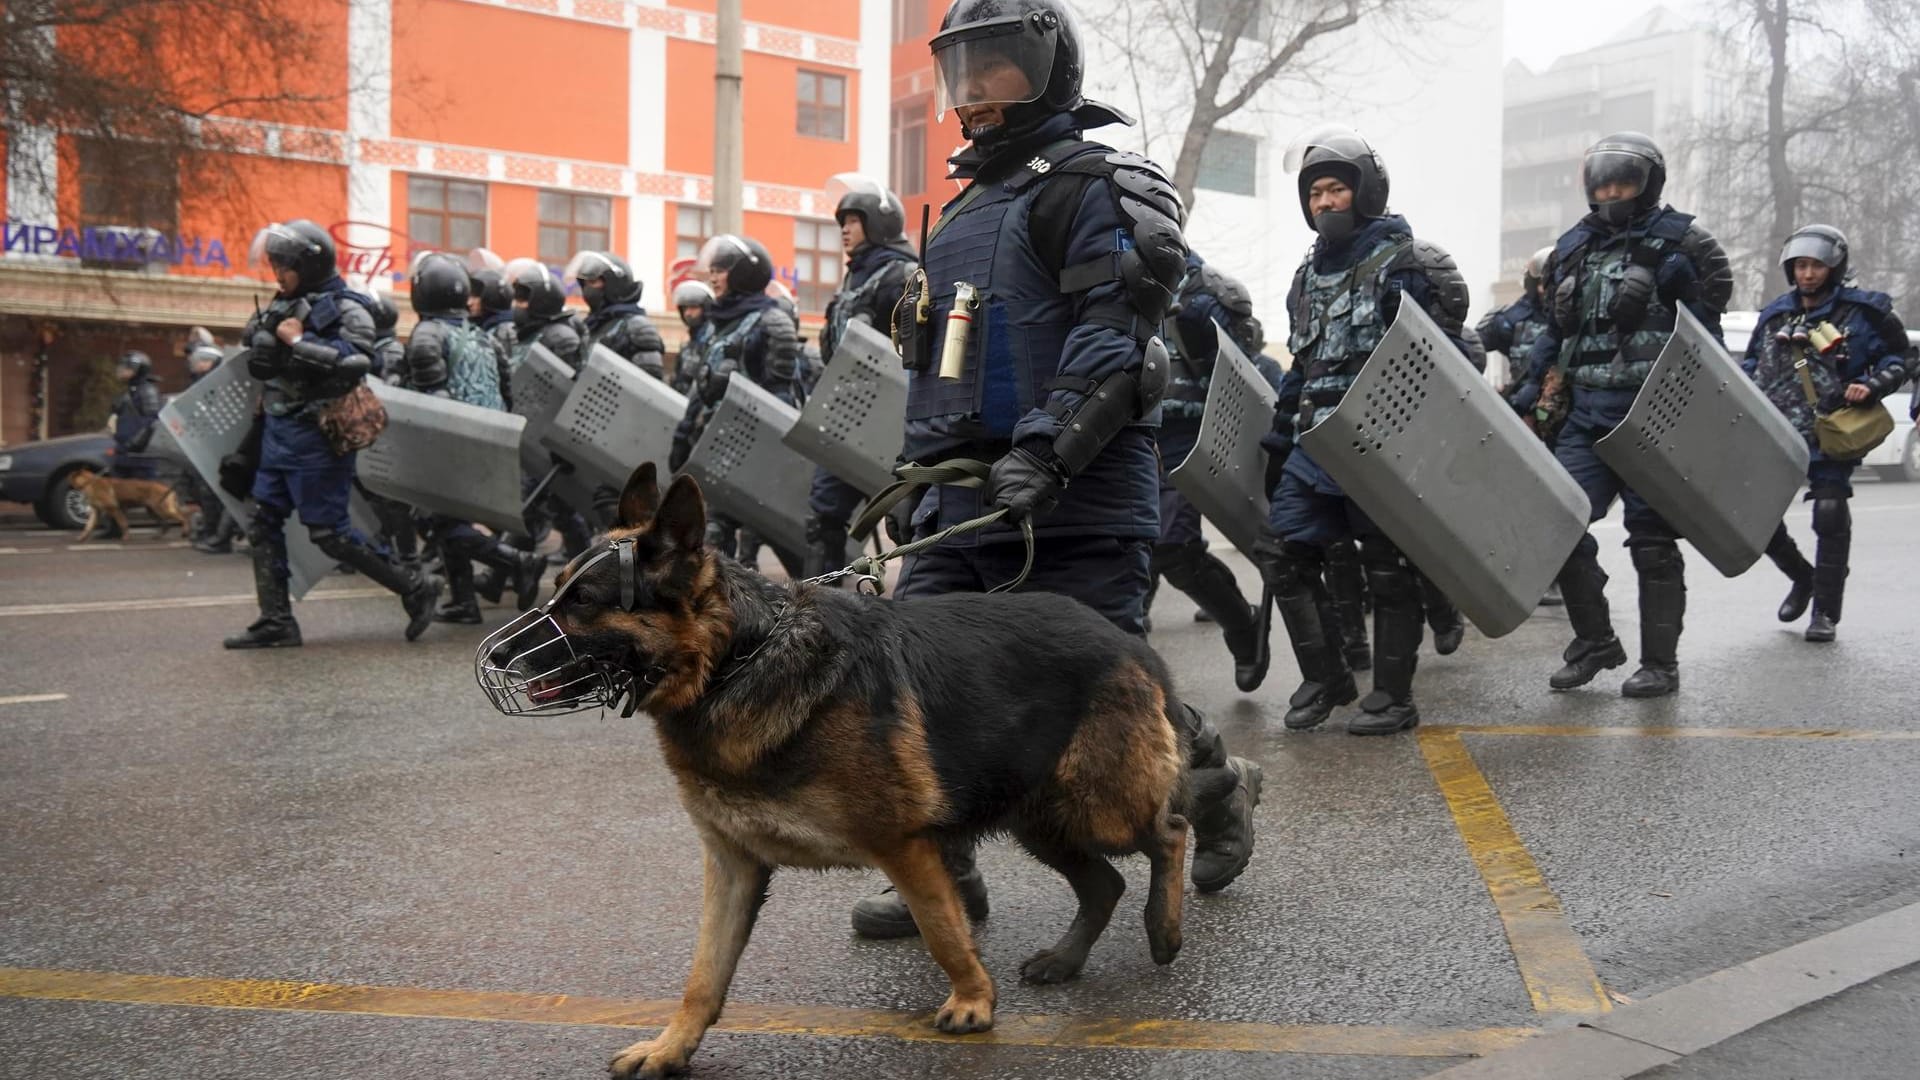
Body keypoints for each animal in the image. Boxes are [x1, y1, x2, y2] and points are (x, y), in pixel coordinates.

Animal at [487, 461, 1190, 1068]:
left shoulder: (902, 844)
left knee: (1169, 832)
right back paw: (1067, 960)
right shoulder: (732, 865)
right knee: (1105, 883)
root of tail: (1130, 643)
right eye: (558, 588)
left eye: (584, 601)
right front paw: (670, 1048)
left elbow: (942, 929)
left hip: (1094, 806)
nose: (494, 660)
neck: (737, 661)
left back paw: (1165, 928)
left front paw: (972, 1002)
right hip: (1038, 818)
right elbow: (703, 975)